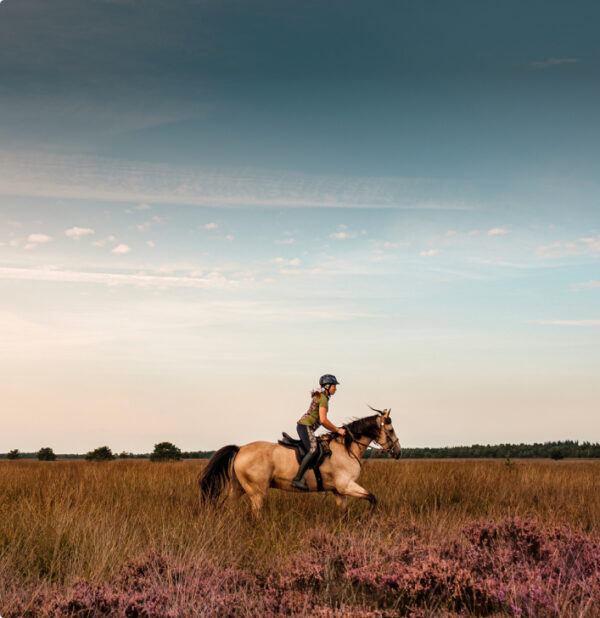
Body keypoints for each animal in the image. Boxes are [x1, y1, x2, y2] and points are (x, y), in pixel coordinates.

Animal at [199, 404, 400, 516]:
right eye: (390, 430)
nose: (398, 451)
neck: (347, 448)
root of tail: (240, 449)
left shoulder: (339, 492)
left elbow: (344, 514)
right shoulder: (346, 486)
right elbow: (372, 498)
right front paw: (369, 517)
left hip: (238, 487)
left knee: (226, 508)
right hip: (257, 492)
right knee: (254, 515)